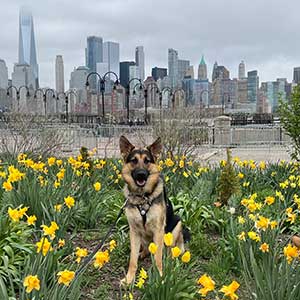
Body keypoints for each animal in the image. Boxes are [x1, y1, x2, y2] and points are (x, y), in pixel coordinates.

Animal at [119, 136, 190, 284]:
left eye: (147, 161)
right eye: (134, 161)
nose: (141, 174)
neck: (142, 197)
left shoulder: (158, 230)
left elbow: (157, 257)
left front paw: (160, 276)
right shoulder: (134, 231)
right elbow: (132, 259)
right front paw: (129, 279)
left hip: (177, 224)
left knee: (170, 250)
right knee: (146, 249)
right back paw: (143, 253)